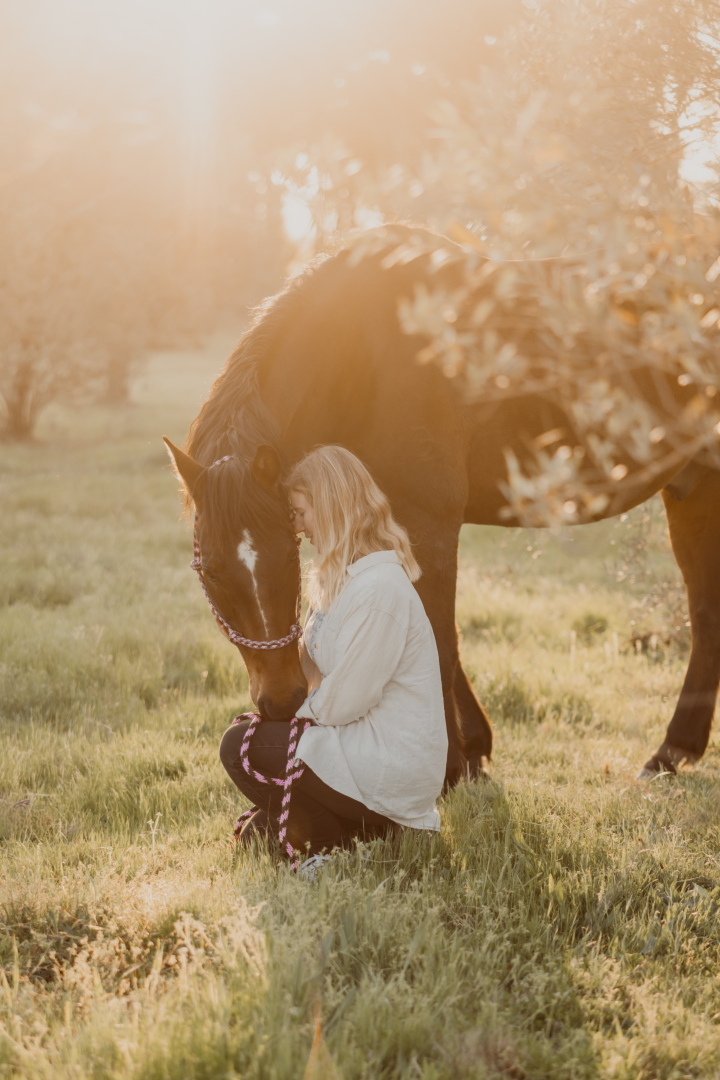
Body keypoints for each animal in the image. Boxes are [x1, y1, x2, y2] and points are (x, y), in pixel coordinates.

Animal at [165, 226, 720, 785]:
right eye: (211, 572)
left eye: (286, 555)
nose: (281, 701)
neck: (361, 358)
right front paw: (473, 749)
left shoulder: (429, 525)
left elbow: (441, 642)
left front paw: (450, 767)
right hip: (691, 490)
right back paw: (674, 751)